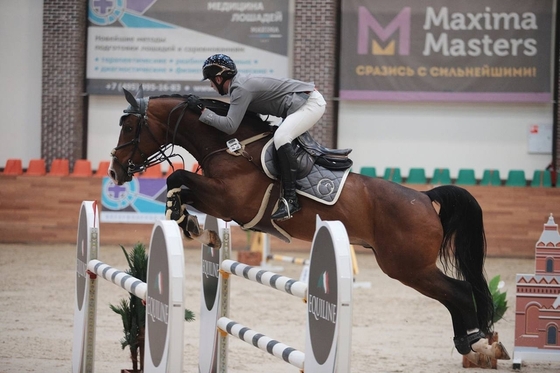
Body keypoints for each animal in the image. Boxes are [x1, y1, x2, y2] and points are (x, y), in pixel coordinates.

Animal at [107, 85, 510, 364]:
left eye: (129, 125)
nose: (113, 172)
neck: (231, 146)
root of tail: (425, 198)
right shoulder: (219, 201)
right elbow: (182, 186)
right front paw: (187, 220)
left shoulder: (230, 201)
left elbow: (178, 179)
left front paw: (182, 216)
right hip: (409, 267)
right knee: (457, 293)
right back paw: (472, 341)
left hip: (407, 267)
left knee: (459, 292)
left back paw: (476, 341)